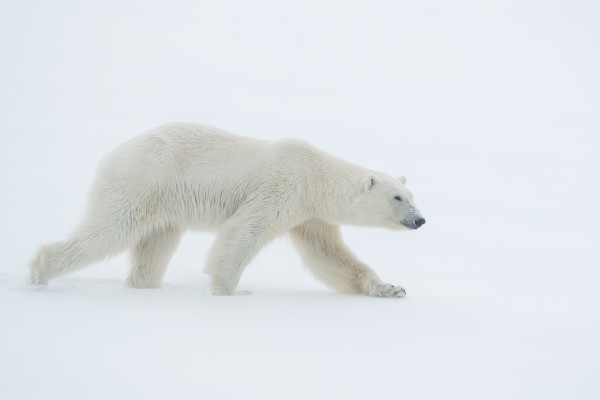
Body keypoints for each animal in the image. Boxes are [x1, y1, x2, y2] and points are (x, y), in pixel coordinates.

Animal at [30, 123, 426, 296]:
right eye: (397, 198)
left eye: (413, 194)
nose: (420, 220)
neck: (315, 173)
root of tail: (112, 155)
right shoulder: (283, 186)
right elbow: (245, 231)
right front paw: (226, 291)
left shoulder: (308, 214)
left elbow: (329, 255)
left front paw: (390, 288)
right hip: (145, 179)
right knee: (113, 228)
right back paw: (39, 272)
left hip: (162, 203)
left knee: (155, 245)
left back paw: (145, 287)